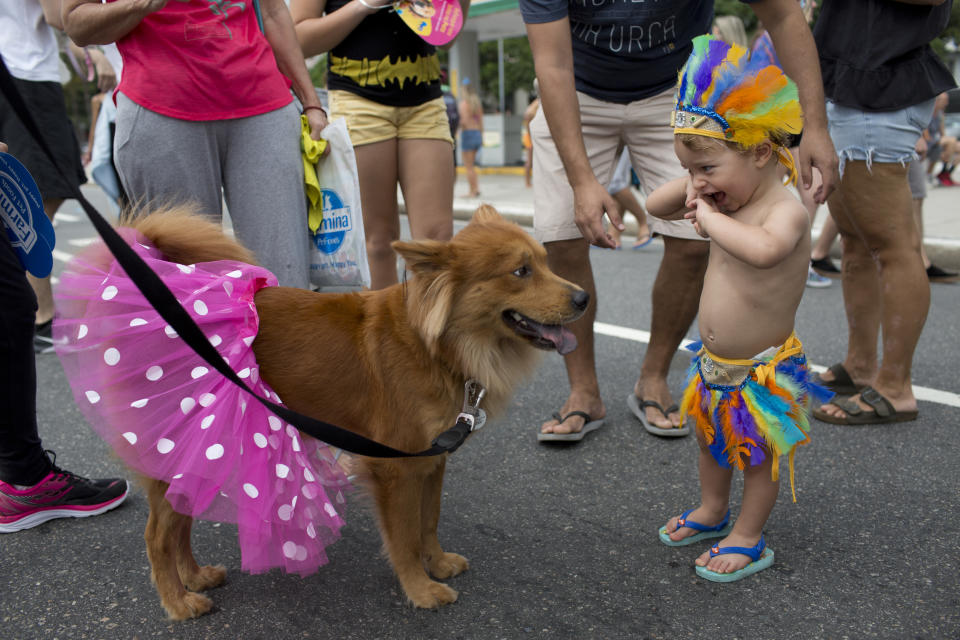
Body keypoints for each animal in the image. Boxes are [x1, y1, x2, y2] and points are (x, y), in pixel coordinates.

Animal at [109, 204, 588, 616]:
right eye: (520, 271)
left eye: (546, 262)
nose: (584, 299)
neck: (438, 348)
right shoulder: (395, 469)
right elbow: (405, 537)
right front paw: (420, 588)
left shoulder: (432, 462)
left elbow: (428, 521)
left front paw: (437, 563)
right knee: (157, 536)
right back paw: (177, 601)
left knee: (180, 524)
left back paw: (194, 576)